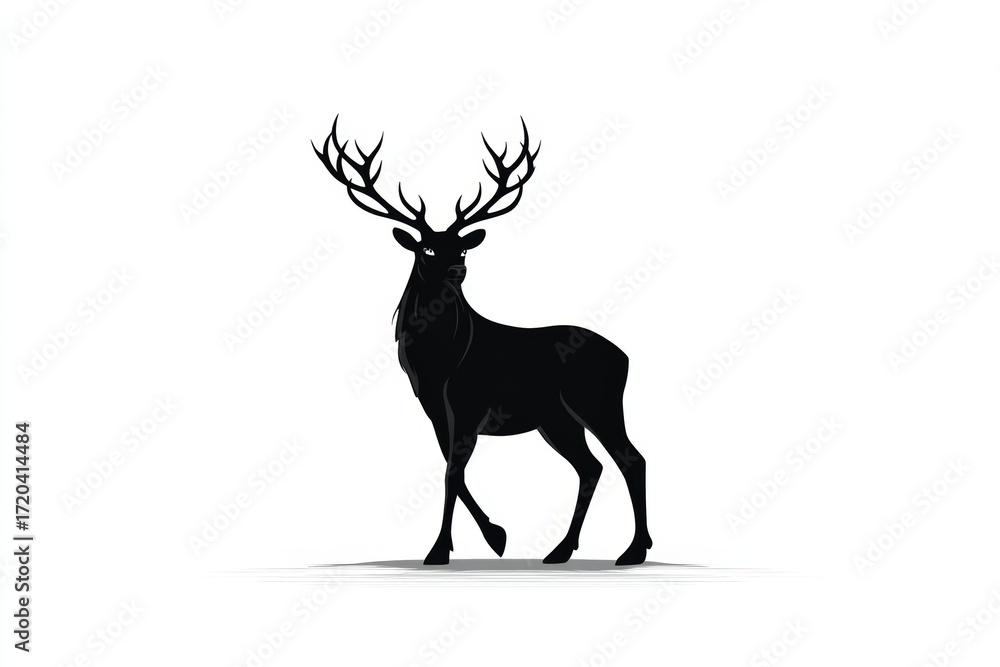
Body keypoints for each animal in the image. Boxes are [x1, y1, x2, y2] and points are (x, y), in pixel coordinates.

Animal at [313, 116, 651, 566]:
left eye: (463, 249)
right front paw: (494, 536)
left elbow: (452, 473)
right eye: (427, 247)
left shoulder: (470, 405)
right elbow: (450, 470)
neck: (438, 363)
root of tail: (626, 357)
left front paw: (443, 549)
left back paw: (634, 549)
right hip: (557, 419)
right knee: (591, 467)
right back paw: (561, 549)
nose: (458, 270)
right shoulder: (436, 412)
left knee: (632, 459)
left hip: (597, 401)